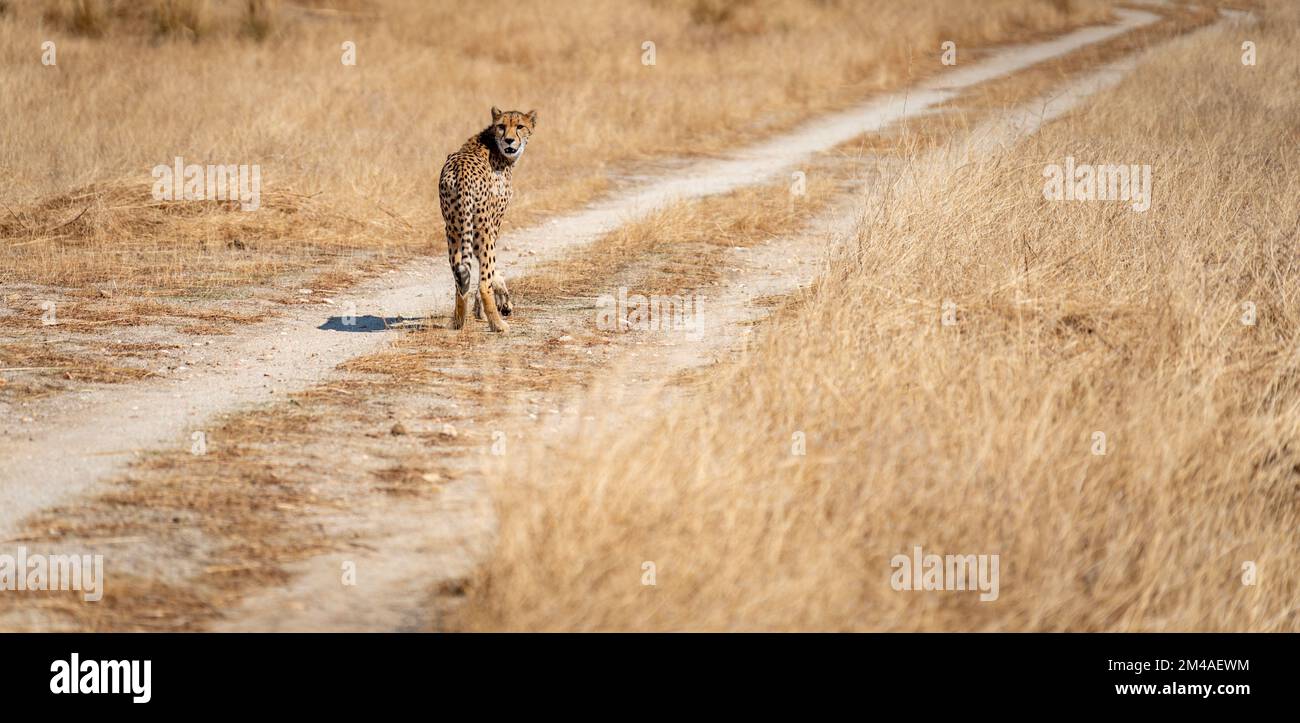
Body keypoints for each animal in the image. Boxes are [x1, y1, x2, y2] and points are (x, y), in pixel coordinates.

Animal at [439, 105, 535, 331]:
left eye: (520, 126)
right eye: (501, 126)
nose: (509, 140)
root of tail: (460, 170)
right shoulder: (494, 223)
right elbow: (491, 269)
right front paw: (497, 305)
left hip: (453, 228)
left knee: (459, 278)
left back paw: (458, 321)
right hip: (480, 226)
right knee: (482, 282)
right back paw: (498, 325)